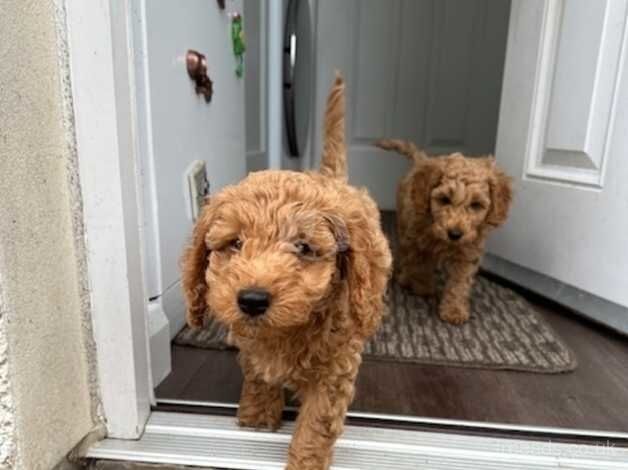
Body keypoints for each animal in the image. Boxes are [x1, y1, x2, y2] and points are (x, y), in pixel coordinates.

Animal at [180, 75, 392, 468]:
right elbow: (258, 374)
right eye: (235, 243)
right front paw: (257, 418)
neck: (285, 332)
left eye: (303, 248)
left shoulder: (335, 370)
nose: (252, 300)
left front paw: (305, 461)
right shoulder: (251, 343)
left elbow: (316, 423)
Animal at [378, 138, 510, 324]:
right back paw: (405, 276)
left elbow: (459, 281)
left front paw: (454, 309)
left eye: (476, 205)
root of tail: (421, 160)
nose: (454, 234)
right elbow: (420, 264)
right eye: (444, 199)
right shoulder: (416, 238)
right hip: (403, 225)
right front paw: (422, 286)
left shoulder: (468, 250)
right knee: (405, 253)